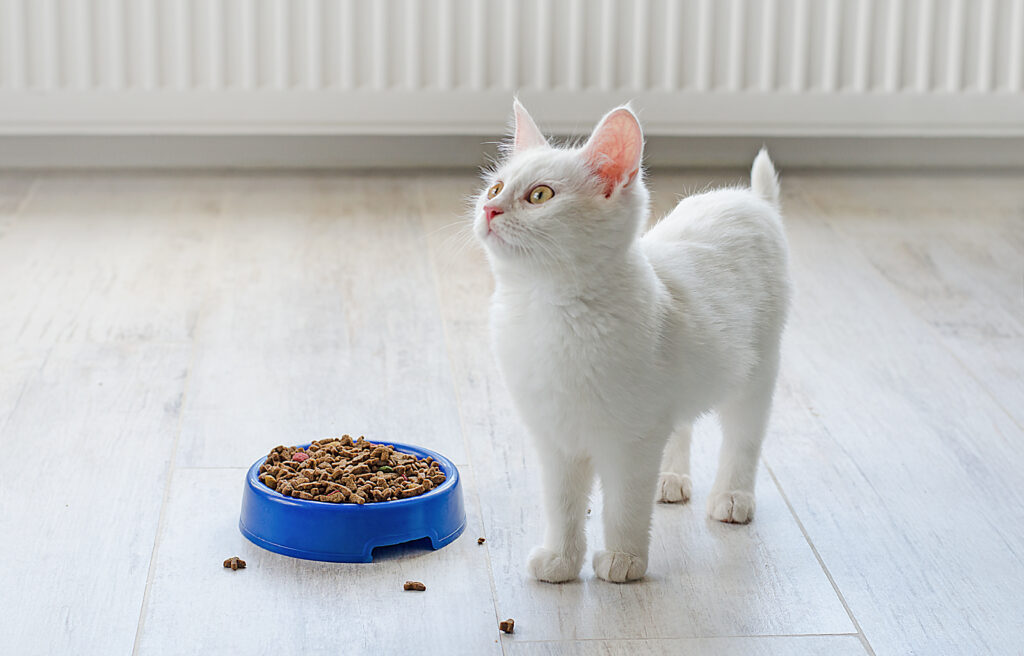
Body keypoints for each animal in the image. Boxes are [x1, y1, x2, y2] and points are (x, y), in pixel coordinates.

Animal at [473, 101, 790, 581]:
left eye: (540, 196)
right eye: (495, 187)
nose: (491, 209)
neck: (548, 310)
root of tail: (751, 200)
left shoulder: (631, 441)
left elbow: (624, 505)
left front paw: (624, 560)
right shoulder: (556, 439)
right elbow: (562, 505)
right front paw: (561, 560)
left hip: (758, 372)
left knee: (743, 437)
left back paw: (733, 497)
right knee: (682, 423)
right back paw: (672, 478)